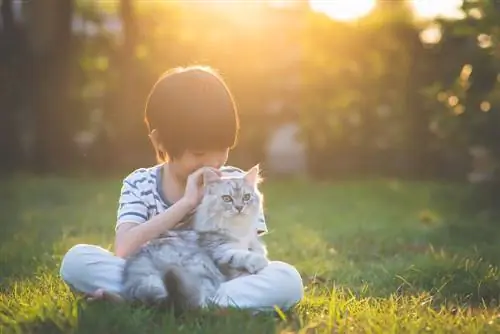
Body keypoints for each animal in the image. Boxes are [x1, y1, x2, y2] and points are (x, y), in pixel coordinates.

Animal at [121, 164, 270, 310]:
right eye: (227, 198)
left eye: (246, 197)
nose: (239, 208)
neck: (238, 229)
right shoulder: (220, 251)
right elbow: (241, 255)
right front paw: (259, 263)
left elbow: (255, 250)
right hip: (202, 271)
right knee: (195, 304)